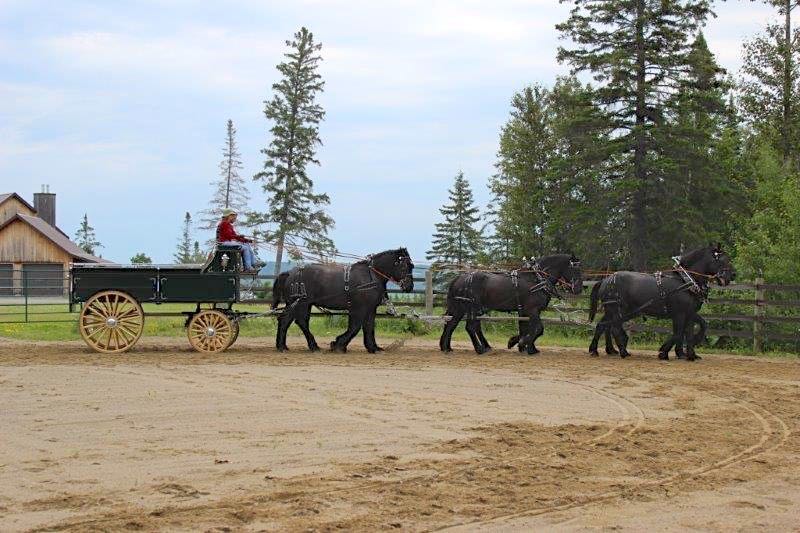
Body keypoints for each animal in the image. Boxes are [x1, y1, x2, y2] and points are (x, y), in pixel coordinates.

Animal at [272, 248, 414, 353]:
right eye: (405, 266)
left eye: (411, 266)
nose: (410, 286)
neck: (371, 276)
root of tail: (290, 273)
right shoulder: (359, 308)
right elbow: (355, 327)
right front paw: (339, 345)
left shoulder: (370, 308)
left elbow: (369, 326)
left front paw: (373, 347)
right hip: (302, 304)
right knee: (301, 322)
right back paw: (313, 346)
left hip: (295, 304)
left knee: (285, 320)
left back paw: (283, 346)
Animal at [439, 254, 584, 355]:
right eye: (575, 269)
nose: (578, 289)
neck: (537, 279)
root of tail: (459, 278)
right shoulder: (532, 310)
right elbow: (538, 329)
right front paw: (523, 344)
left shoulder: (525, 311)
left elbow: (526, 328)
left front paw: (524, 345)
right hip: (472, 307)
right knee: (470, 327)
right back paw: (480, 349)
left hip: (460, 308)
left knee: (451, 324)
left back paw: (447, 347)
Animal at [588, 244, 735, 361]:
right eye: (723, 260)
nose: (732, 276)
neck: (686, 281)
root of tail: (606, 280)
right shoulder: (680, 314)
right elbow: (678, 333)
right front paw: (664, 352)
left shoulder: (689, 313)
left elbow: (694, 329)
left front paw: (688, 354)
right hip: (619, 310)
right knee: (614, 328)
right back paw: (622, 351)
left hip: (616, 311)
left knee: (603, 326)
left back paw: (599, 350)